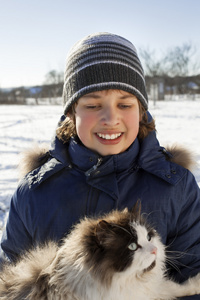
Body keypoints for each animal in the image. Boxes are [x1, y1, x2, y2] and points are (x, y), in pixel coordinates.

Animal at [0, 203, 200, 298]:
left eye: (149, 238)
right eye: (132, 246)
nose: (154, 250)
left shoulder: (151, 291)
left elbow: (176, 287)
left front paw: (196, 284)